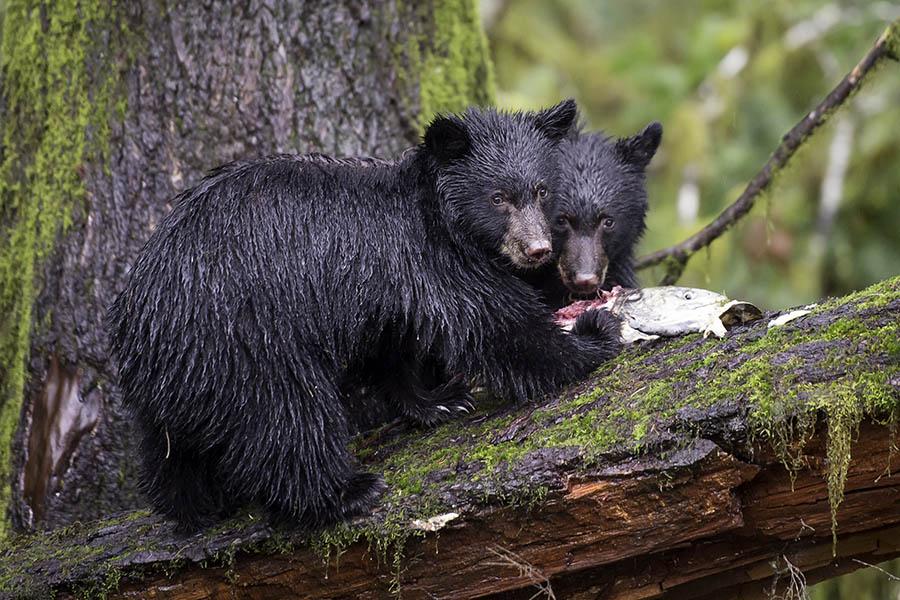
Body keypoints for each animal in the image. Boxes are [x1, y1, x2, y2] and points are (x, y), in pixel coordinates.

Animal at [107, 99, 622, 531]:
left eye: (541, 190)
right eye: (499, 197)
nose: (536, 250)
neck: (438, 214)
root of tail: (142, 323)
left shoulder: (384, 290)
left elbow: (394, 346)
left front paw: (437, 401)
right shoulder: (427, 258)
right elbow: (494, 324)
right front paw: (593, 333)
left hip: (184, 375)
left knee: (171, 449)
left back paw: (192, 503)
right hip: (244, 338)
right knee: (288, 417)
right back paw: (343, 492)